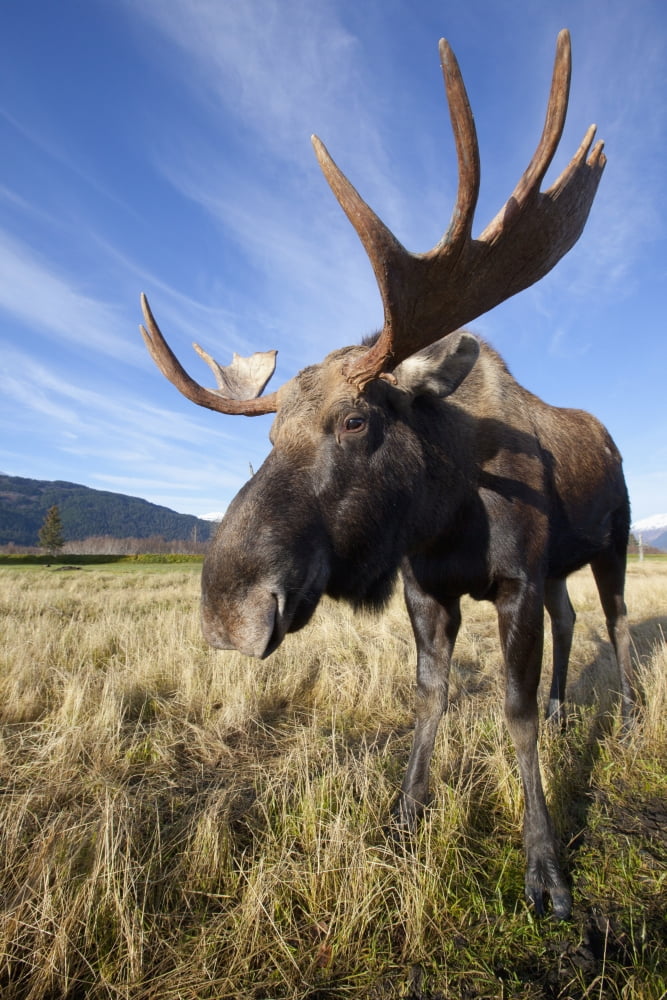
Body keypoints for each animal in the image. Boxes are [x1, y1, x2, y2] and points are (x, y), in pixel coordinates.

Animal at [139, 30, 633, 919]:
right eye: (269, 431)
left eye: (356, 420)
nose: (229, 610)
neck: (446, 514)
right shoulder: (427, 586)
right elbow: (427, 698)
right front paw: (404, 816)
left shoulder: (514, 580)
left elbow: (511, 717)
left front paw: (545, 869)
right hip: (561, 566)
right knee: (575, 619)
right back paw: (566, 709)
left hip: (611, 541)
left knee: (613, 622)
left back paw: (637, 718)